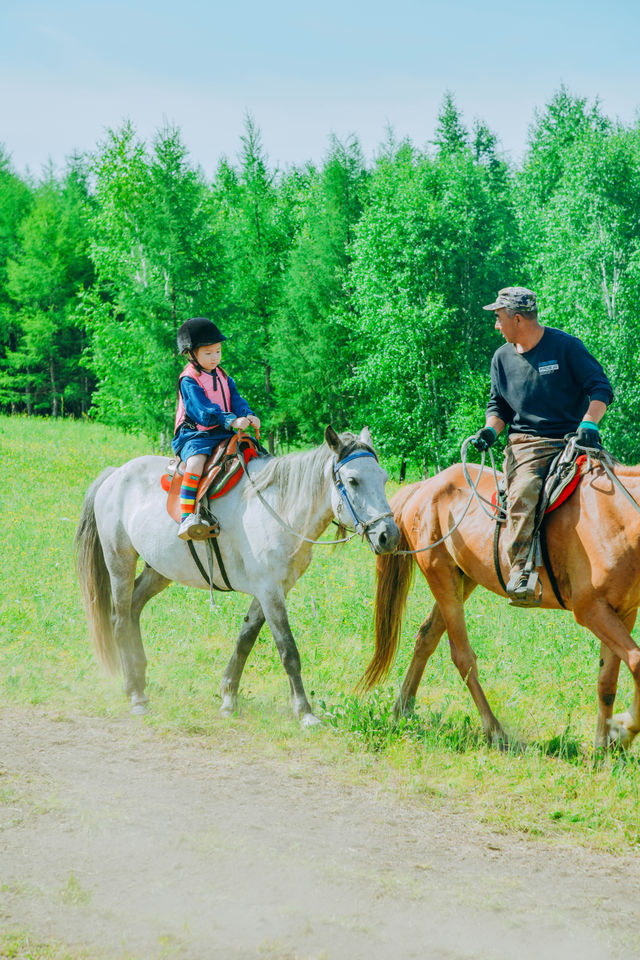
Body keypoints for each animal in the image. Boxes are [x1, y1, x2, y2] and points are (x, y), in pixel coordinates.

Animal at [75, 424, 400, 724]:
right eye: (353, 480)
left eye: (384, 478)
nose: (390, 536)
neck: (280, 507)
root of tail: (114, 476)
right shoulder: (270, 591)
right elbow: (288, 651)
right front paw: (304, 711)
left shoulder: (272, 589)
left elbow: (245, 640)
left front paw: (229, 697)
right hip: (120, 561)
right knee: (119, 619)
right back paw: (135, 694)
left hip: (158, 570)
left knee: (132, 611)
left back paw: (139, 679)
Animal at [362, 458, 640, 752]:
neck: (615, 516)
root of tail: (424, 486)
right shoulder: (591, 610)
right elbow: (636, 661)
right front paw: (625, 731)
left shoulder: (623, 612)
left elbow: (606, 681)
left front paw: (605, 744)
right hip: (442, 577)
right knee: (462, 656)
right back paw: (494, 731)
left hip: (463, 580)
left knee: (426, 636)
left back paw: (403, 708)